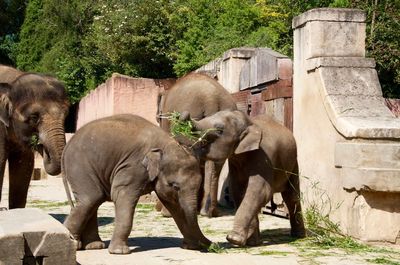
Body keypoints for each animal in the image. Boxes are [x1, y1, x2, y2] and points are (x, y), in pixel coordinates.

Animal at [61, 114, 212, 254]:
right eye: (175, 186)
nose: (210, 244)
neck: (165, 144)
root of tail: (68, 145)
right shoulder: (133, 166)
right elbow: (121, 195)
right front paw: (120, 252)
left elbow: (174, 206)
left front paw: (191, 247)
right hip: (80, 165)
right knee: (91, 198)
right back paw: (74, 244)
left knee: (93, 201)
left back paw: (93, 246)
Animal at [183, 109, 304, 245]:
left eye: (219, 130)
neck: (250, 123)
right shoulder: (235, 161)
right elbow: (238, 190)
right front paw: (251, 241)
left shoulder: (265, 157)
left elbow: (260, 191)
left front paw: (233, 239)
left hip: (294, 163)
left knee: (291, 196)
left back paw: (298, 236)